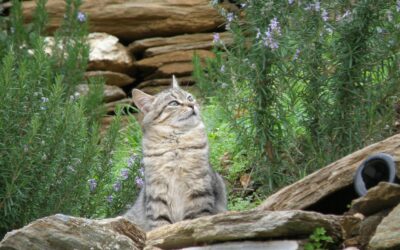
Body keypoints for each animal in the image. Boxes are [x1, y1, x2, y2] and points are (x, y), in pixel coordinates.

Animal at [123, 75, 227, 230]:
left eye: (189, 97)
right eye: (173, 103)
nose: (192, 105)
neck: (176, 147)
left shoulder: (199, 188)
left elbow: (194, 219)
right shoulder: (157, 194)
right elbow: (160, 224)